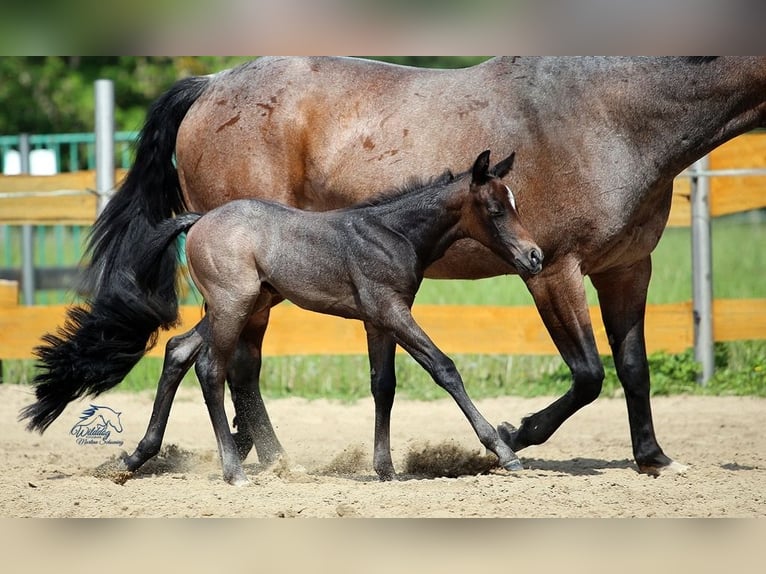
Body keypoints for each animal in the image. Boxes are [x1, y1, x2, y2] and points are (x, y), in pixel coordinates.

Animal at [70, 150, 541, 484]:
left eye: (516, 203)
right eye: (496, 209)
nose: (534, 256)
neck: (394, 234)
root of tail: (199, 219)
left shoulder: (378, 321)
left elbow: (383, 386)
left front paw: (386, 469)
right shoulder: (391, 310)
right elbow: (443, 367)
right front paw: (504, 452)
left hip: (241, 305)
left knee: (178, 350)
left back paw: (135, 456)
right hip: (233, 306)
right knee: (210, 369)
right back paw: (233, 472)